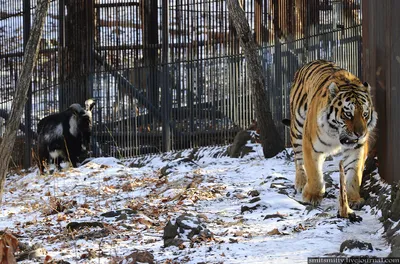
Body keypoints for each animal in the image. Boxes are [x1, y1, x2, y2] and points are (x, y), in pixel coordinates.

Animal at [286, 59, 376, 206]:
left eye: (365, 114)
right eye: (348, 114)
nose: (361, 134)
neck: (336, 134)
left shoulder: (357, 148)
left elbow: (354, 174)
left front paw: (353, 198)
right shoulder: (310, 144)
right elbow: (314, 171)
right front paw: (312, 195)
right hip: (297, 126)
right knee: (298, 158)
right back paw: (301, 182)